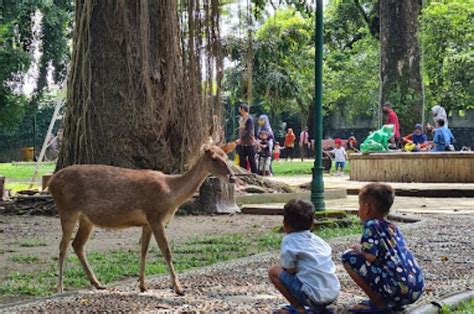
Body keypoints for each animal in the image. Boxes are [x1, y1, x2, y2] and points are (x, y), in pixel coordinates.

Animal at [50, 145, 235, 294]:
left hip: (87, 219)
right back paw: (60, 287)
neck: (170, 194)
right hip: (67, 210)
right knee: (63, 246)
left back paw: (98, 283)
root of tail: (51, 182)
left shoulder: (147, 222)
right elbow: (166, 251)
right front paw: (178, 288)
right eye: (214, 158)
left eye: (226, 156)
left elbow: (144, 251)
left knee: (77, 244)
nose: (232, 177)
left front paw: (143, 286)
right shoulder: (155, 215)